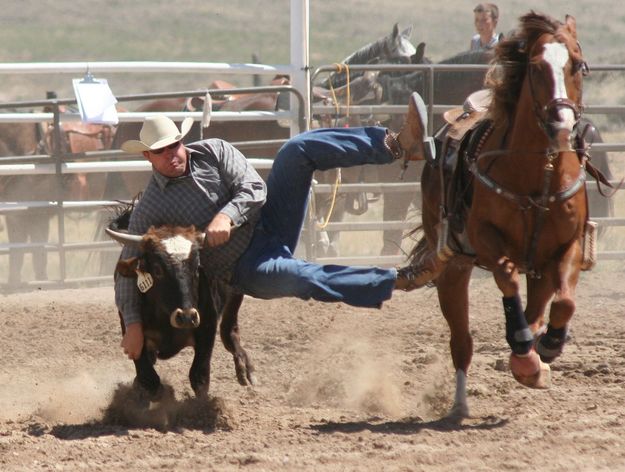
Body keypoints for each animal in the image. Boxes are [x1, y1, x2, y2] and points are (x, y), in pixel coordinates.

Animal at [412, 11, 592, 418]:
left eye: (577, 64)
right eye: (537, 66)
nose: (561, 126)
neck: (538, 174)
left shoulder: (569, 246)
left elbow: (566, 301)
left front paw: (548, 346)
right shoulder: (487, 242)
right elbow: (508, 281)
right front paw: (523, 353)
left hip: (539, 266)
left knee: (540, 305)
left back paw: (538, 353)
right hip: (453, 266)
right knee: (461, 341)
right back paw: (462, 402)